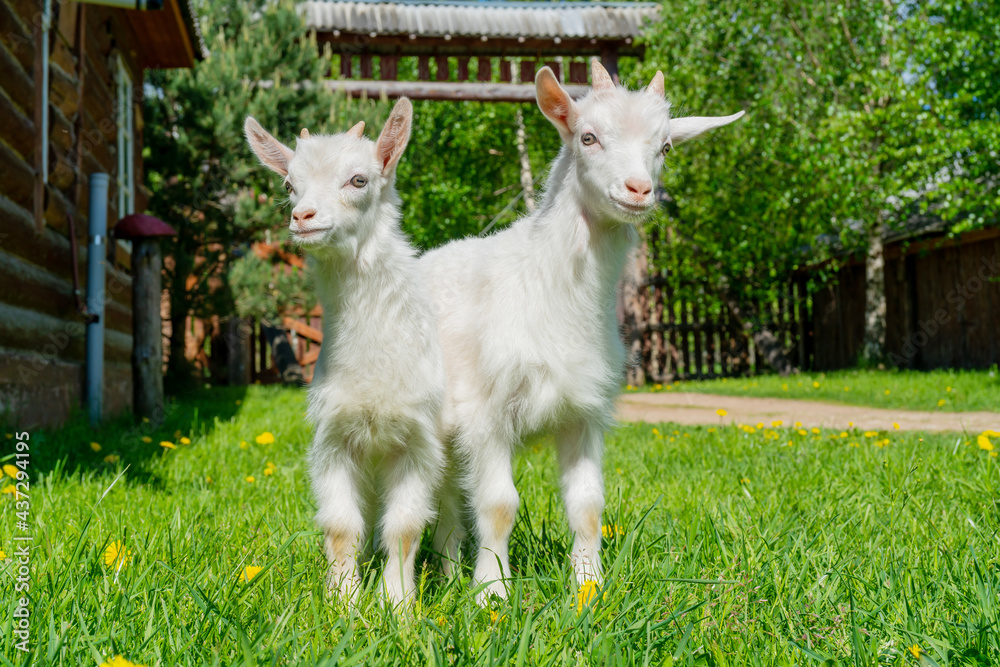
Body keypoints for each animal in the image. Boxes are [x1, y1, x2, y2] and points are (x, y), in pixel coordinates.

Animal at [244, 99, 445, 607]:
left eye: (359, 180)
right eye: (289, 184)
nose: (303, 217)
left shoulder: (417, 440)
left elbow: (405, 528)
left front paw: (398, 605)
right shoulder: (334, 438)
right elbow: (340, 527)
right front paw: (343, 601)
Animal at [420, 61, 744, 601]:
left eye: (665, 147)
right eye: (588, 137)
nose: (639, 190)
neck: (546, 284)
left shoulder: (584, 411)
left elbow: (588, 505)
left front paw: (589, 587)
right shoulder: (486, 412)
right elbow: (498, 505)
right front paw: (492, 594)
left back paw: (447, 577)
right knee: (446, 496)